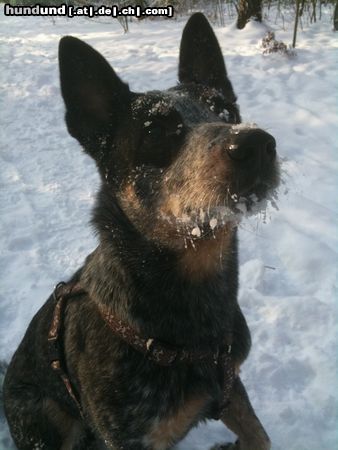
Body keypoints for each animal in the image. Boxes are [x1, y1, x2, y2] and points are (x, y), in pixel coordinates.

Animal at [3, 12, 278, 448]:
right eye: (155, 132)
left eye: (227, 111)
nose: (256, 143)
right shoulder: (132, 436)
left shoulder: (231, 385)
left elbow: (259, 436)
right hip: (47, 418)